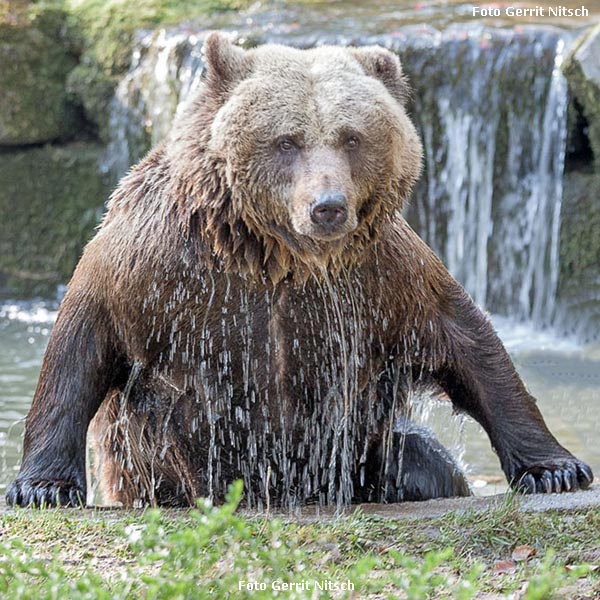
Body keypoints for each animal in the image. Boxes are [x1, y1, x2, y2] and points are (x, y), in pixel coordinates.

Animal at [5, 32, 596, 508]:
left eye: (352, 137)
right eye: (287, 141)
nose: (327, 206)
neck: (278, 257)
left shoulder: (379, 278)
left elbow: (468, 342)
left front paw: (556, 468)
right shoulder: (156, 270)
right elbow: (82, 344)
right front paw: (42, 486)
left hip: (361, 455)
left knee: (423, 462)